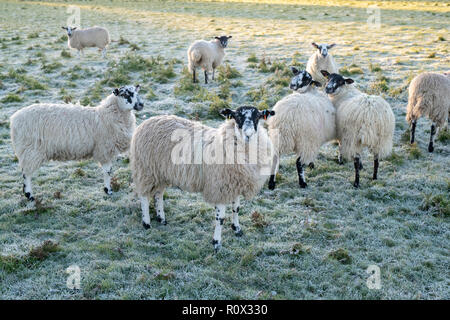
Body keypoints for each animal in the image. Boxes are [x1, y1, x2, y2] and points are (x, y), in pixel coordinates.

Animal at [10, 84, 143, 201]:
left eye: (137, 93)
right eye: (125, 94)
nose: (141, 104)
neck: (107, 115)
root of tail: (14, 119)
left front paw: (107, 189)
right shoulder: (104, 150)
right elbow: (108, 171)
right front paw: (108, 190)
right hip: (31, 150)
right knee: (26, 174)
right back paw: (29, 195)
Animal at [130, 106, 274, 251]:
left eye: (257, 117)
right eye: (237, 117)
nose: (248, 134)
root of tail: (148, 120)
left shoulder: (235, 184)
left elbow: (236, 209)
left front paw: (237, 229)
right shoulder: (219, 187)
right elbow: (220, 218)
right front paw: (216, 243)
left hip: (160, 173)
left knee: (158, 194)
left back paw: (161, 218)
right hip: (146, 170)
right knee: (144, 197)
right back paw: (146, 223)